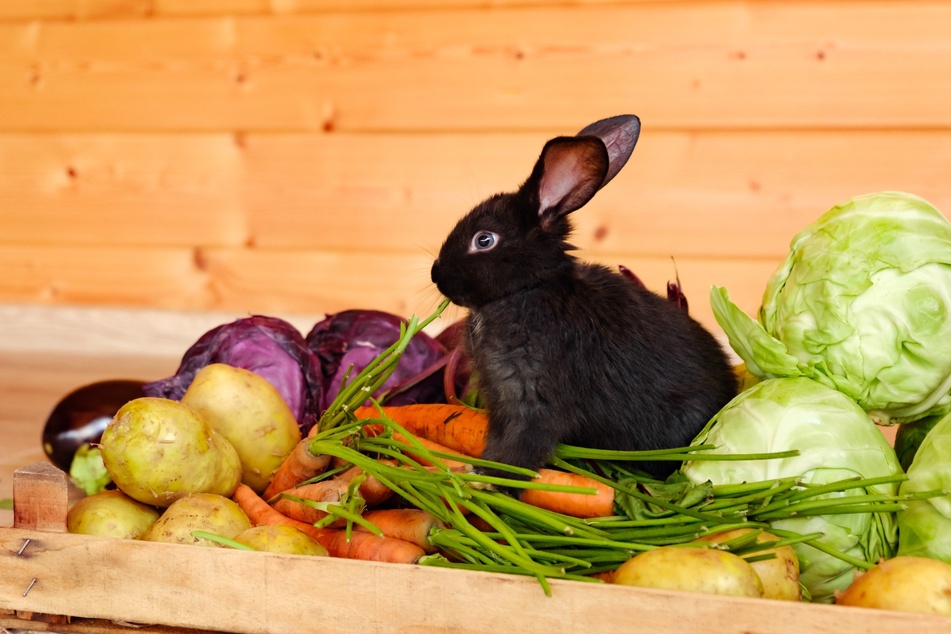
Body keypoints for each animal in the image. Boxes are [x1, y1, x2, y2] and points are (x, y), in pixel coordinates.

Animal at [430, 113, 736, 478]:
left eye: (484, 240)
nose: (436, 275)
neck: (528, 289)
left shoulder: (533, 399)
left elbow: (521, 447)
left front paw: (497, 481)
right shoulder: (502, 402)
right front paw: (481, 470)